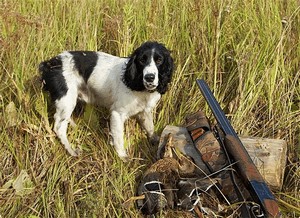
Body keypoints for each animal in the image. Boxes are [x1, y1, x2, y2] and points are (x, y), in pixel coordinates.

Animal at [38, 41, 173, 160]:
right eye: (142, 60)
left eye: (159, 60)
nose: (149, 77)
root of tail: (50, 64)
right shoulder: (117, 114)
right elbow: (118, 137)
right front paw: (122, 157)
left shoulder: (144, 111)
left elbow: (150, 127)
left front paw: (156, 140)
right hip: (67, 98)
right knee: (59, 126)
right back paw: (71, 150)